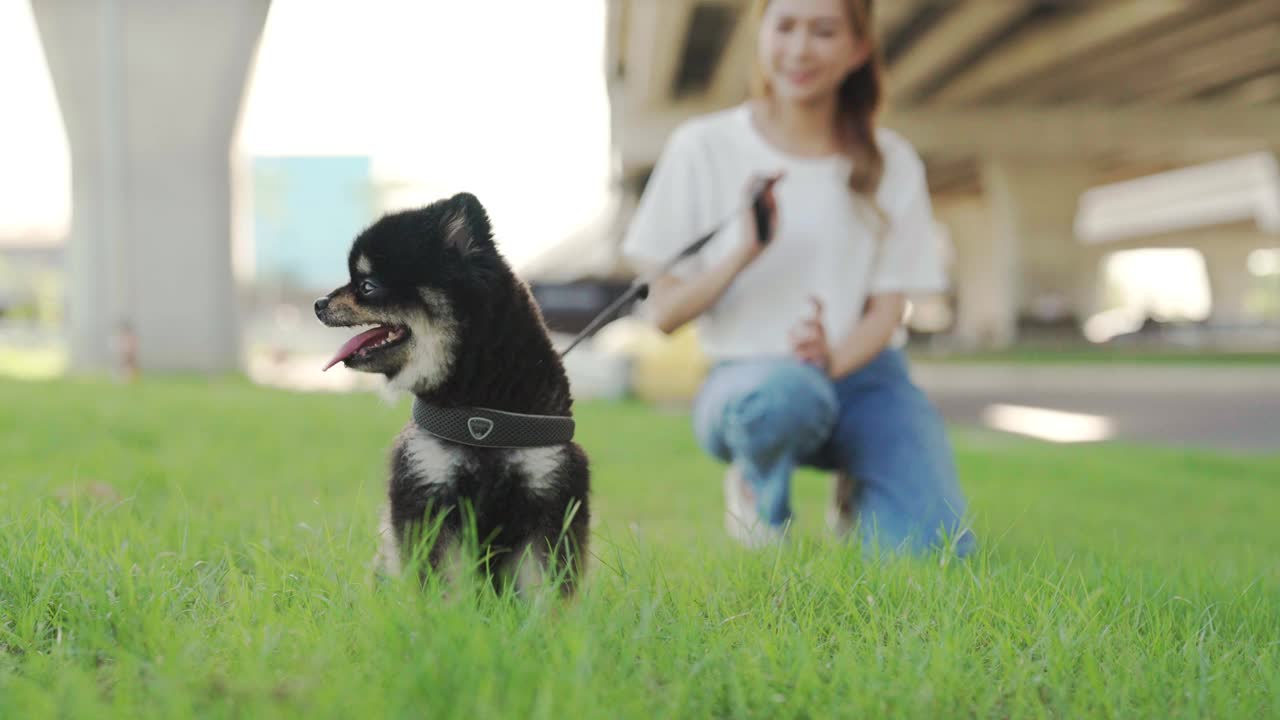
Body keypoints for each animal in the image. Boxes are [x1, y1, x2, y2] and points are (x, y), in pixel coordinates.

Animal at [314, 190, 588, 594]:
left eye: (366, 286)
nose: (318, 303)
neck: (481, 406)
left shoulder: (548, 491)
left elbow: (542, 585)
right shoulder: (428, 488)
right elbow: (443, 582)